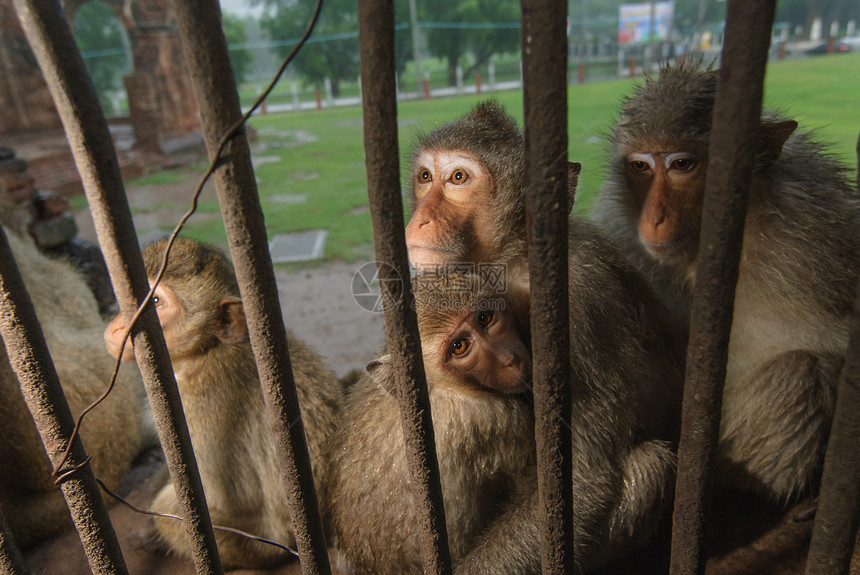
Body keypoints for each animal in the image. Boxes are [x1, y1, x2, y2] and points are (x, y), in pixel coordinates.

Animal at [102, 237, 340, 568]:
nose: (116, 328)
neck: (206, 350)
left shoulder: (205, 402)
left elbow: (222, 497)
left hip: (261, 547)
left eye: (156, 302)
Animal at [404, 102, 684, 572]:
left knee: (650, 469)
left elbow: (580, 476)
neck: (512, 260)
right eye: (425, 176)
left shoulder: (578, 304)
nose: (420, 218)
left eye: (458, 178)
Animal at [592, 60, 860, 502]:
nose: (654, 217)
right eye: (641, 166)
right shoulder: (622, 232)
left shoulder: (818, 222)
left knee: (802, 369)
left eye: (683, 165)